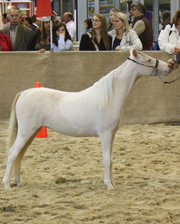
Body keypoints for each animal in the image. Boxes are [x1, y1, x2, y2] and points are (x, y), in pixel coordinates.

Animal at [3, 49, 172, 189]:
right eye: (148, 60)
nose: (170, 65)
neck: (110, 97)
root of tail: (24, 93)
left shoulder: (112, 135)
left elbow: (111, 160)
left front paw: (113, 183)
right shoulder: (105, 135)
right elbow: (106, 159)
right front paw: (108, 185)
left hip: (32, 132)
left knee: (20, 154)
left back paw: (17, 182)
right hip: (26, 132)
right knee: (12, 153)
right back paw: (6, 184)